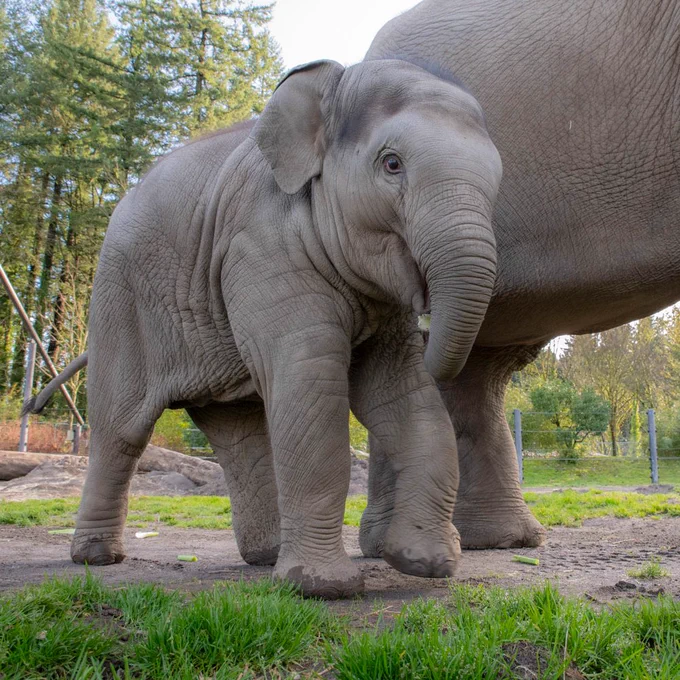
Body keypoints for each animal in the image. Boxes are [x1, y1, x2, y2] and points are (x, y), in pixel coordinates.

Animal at [28, 58, 502, 598]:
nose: (427, 318)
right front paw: (324, 587)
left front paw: (425, 564)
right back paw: (96, 558)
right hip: (119, 301)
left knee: (239, 434)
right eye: (392, 164)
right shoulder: (259, 245)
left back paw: (265, 556)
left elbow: (402, 395)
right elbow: (310, 382)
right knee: (120, 429)